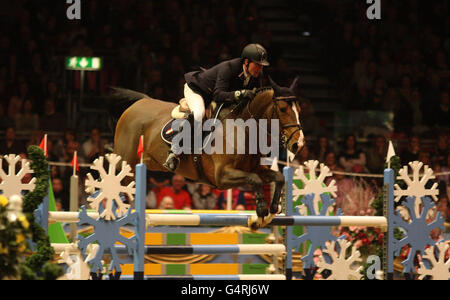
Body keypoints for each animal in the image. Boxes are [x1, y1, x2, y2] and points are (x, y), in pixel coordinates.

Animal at [112, 78, 304, 226]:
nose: (298, 144)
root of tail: (139, 103)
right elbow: (254, 179)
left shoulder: (254, 169)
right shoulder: (222, 177)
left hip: (149, 162)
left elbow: (278, 177)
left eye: (299, 110)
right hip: (125, 163)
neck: (244, 129)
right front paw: (261, 211)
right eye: (283, 109)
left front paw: (272, 210)